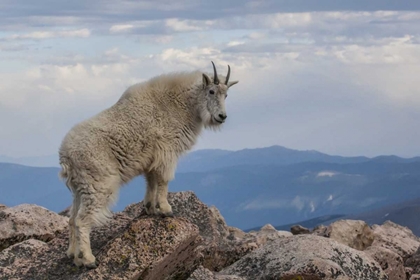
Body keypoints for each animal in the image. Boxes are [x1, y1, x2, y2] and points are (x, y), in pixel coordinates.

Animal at [58, 62, 240, 268]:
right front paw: (166, 210)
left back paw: (74, 256)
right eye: (211, 91)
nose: (222, 116)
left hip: (79, 187)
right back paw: (88, 259)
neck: (181, 104)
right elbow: (164, 180)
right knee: (82, 220)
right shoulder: (167, 150)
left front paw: (151, 208)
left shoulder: (152, 157)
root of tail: (66, 156)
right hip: (98, 184)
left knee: (72, 218)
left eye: (226, 94)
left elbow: (151, 181)